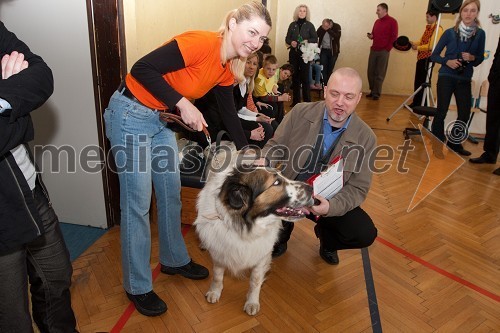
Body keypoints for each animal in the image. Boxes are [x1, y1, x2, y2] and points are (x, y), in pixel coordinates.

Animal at [194, 152, 312, 316]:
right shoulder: (220, 252)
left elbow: (255, 281)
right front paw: (215, 291)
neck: (244, 228)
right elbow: (217, 275)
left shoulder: (261, 255)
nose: (311, 188)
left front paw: (252, 302)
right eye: (276, 182)